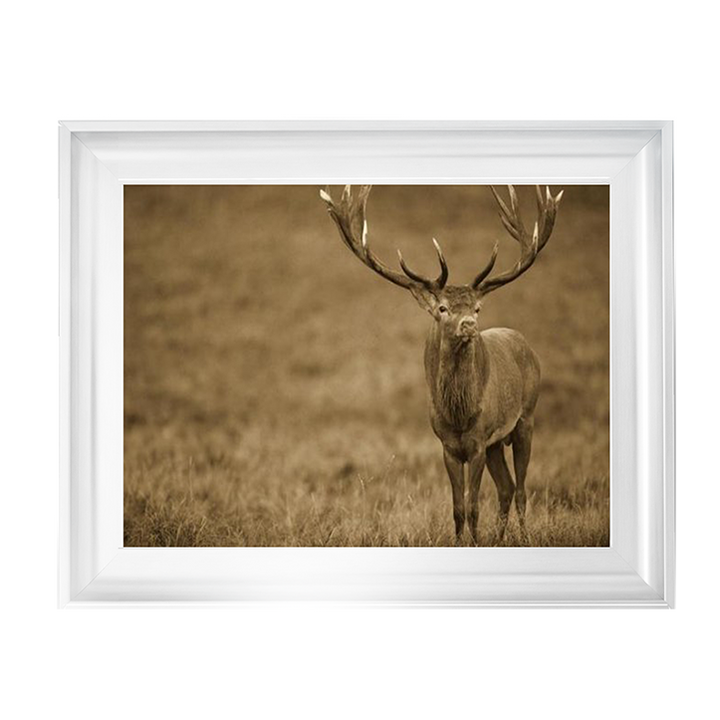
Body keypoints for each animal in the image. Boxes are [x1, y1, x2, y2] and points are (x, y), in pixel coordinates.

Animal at [320, 184, 563, 544]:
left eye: (476, 308)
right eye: (443, 308)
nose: (469, 325)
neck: (459, 415)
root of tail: (525, 343)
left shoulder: (477, 442)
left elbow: (473, 506)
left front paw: (475, 542)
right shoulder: (448, 445)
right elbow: (458, 508)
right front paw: (462, 541)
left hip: (526, 418)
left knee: (520, 489)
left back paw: (523, 536)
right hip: (496, 443)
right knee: (506, 488)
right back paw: (500, 538)